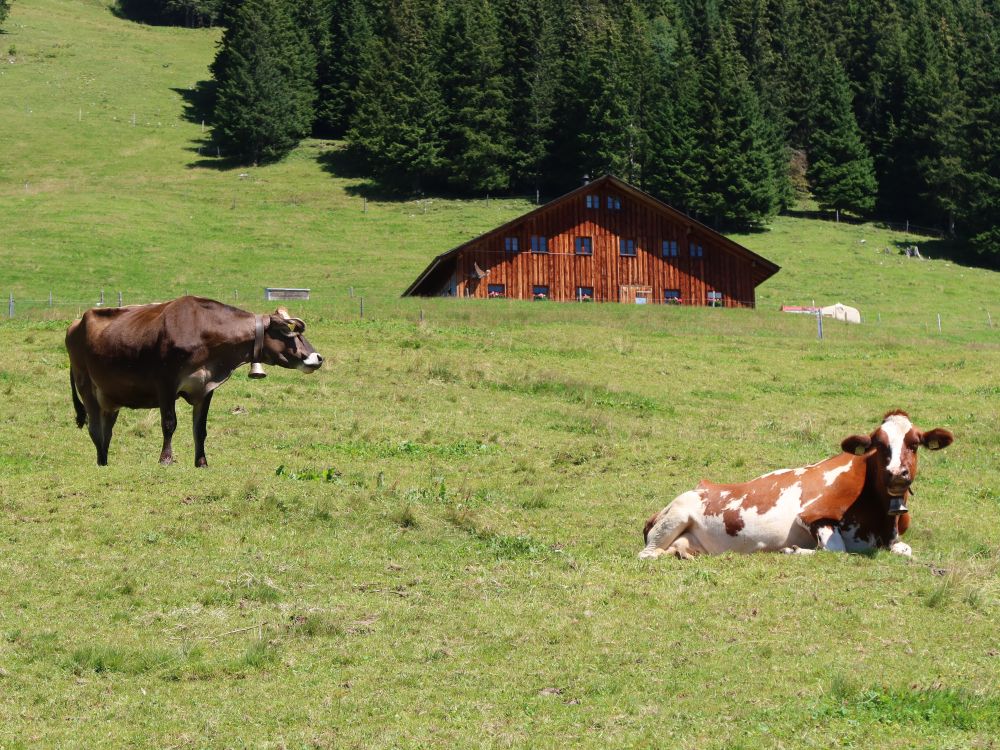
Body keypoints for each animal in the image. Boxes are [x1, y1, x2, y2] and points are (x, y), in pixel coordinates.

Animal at [65, 296, 324, 468]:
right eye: (287, 332)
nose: (317, 357)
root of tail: (76, 323)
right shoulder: (165, 383)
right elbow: (169, 423)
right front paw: (165, 459)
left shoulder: (206, 387)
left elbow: (200, 429)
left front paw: (201, 462)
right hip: (86, 384)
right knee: (94, 427)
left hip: (111, 396)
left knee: (107, 429)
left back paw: (104, 460)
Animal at [640, 414, 952, 560]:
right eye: (879, 444)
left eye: (914, 444)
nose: (897, 474)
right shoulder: (811, 515)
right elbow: (835, 548)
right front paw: (793, 550)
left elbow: (905, 550)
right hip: (677, 514)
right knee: (647, 553)